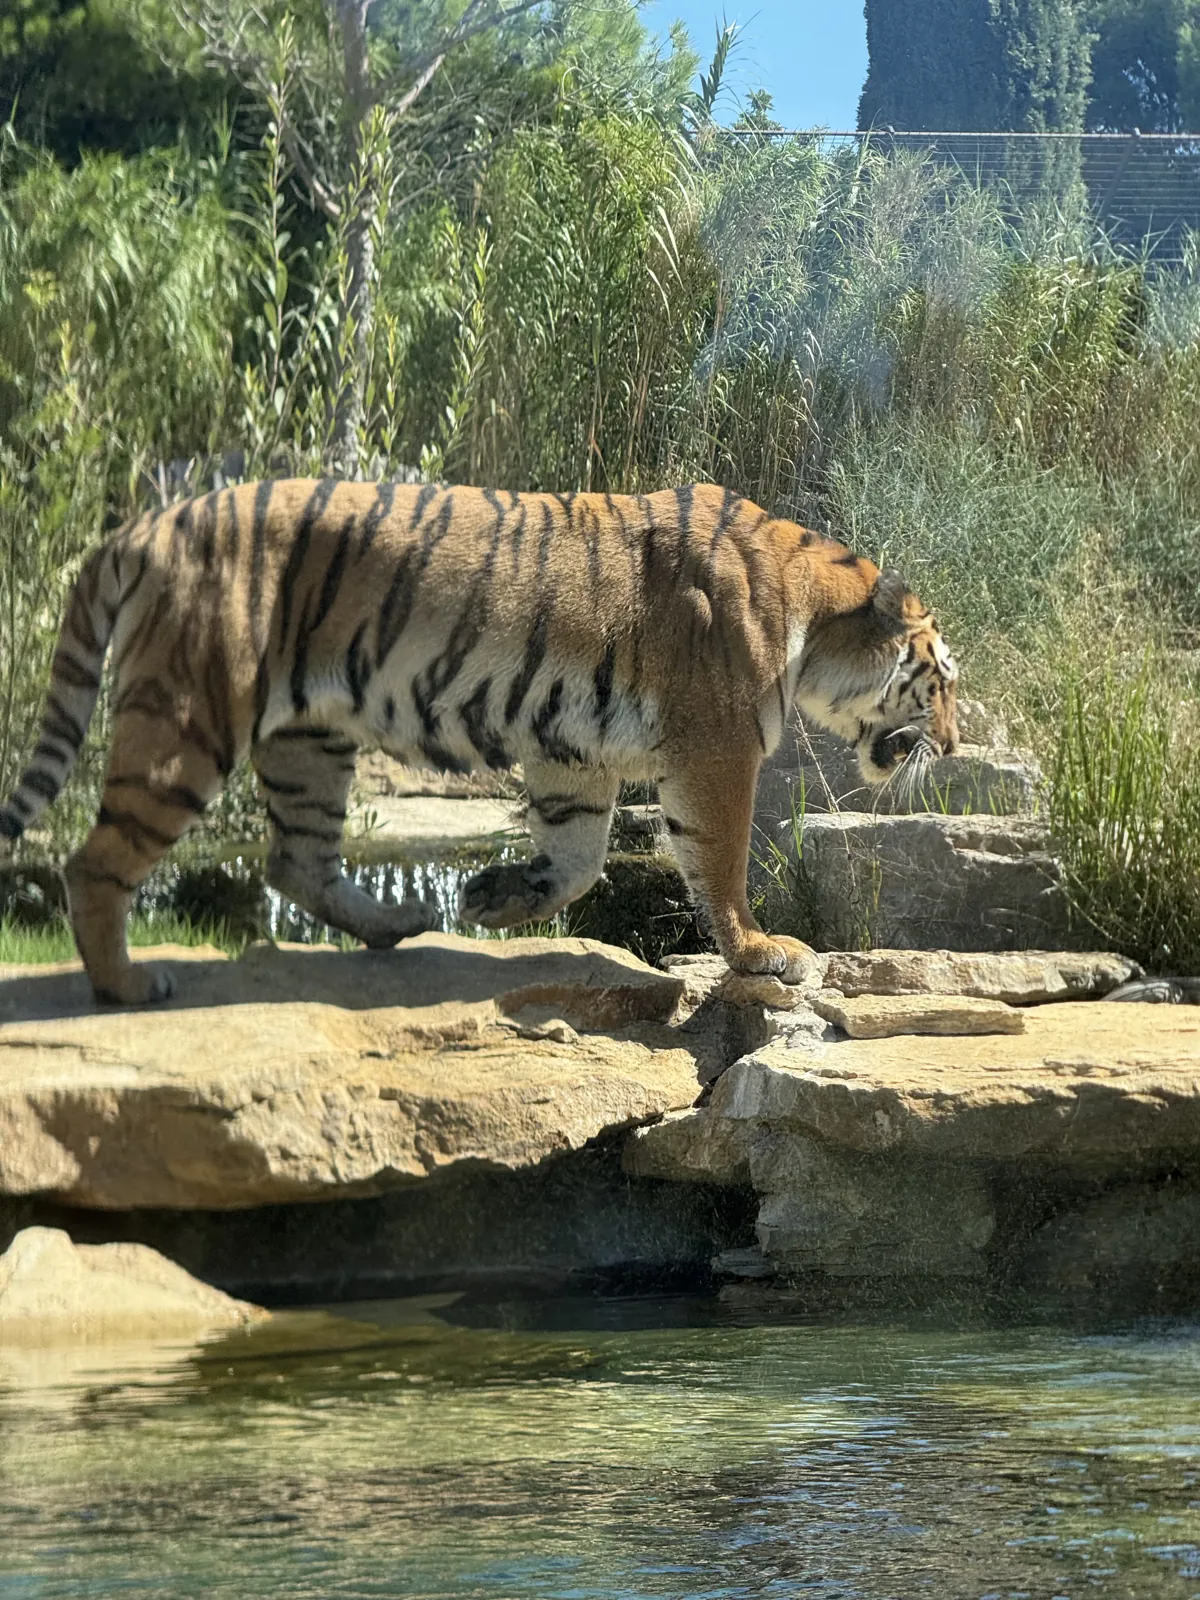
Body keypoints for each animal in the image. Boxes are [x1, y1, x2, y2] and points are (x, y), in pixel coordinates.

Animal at [0, 479, 959, 1005]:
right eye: (942, 678)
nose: (951, 747)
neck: (813, 616)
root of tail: (144, 525)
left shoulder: (576, 750)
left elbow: (579, 859)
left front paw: (496, 897)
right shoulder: (716, 749)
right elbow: (717, 861)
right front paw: (763, 951)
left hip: (309, 737)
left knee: (295, 860)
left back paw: (398, 922)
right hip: (188, 721)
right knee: (96, 862)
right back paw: (125, 985)